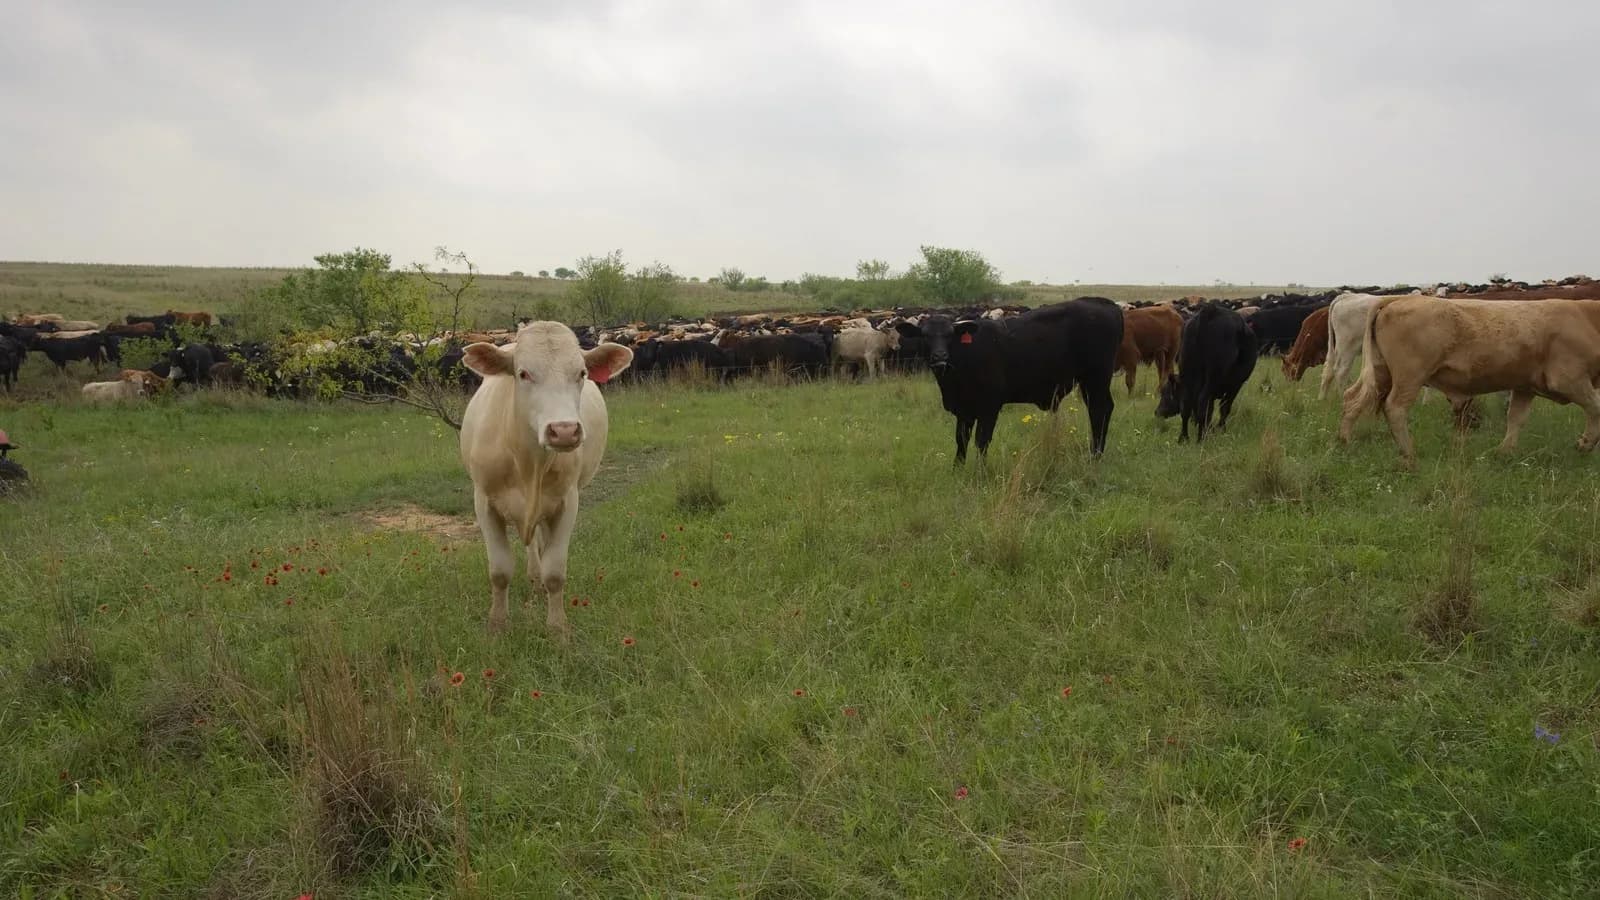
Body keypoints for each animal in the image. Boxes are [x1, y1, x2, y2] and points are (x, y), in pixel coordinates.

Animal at [457, 322, 634, 636]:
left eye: (582, 373)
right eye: (523, 373)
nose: (564, 431)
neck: (528, 462)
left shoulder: (567, 502)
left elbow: (555, 572)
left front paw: (557, 628)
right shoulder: (484, 502)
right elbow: (499, 571)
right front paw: (497, 624)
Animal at [894, 297, 1124, 460]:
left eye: (951, 335)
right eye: (925, 335)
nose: (940, 357)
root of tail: (1104, 303)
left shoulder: (989, 407)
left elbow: (981, 441)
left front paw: (979, 474)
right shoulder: (963, 410)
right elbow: (961, 440)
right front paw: (957, 470)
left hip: (1096, 378)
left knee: (1100, 410)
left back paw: (1095, 456)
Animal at [1156, 303, 1258, 442]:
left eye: (1167, 393)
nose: (1157, 412)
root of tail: (1209, 311)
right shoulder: (1234, 386)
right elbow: (1223, 408)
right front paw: (1220, 429)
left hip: (1189, 370)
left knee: (1186, 405)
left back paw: (1184, 438)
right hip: (1213, 378)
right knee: (1203, 403)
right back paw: (1201, 438)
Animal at [1339, 296, 1600, 461]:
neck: (1588, 319)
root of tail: (1397, 299)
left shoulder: (1524, 387)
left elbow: (1516, 418)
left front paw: (1504, 452)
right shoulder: (1569, 379)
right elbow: (1596, 407)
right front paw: (1586, 444)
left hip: (1381, 373)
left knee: (1353, 399)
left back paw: (1345, 441)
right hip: (1409, 377)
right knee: (1395, 408)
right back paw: (1408, 453)